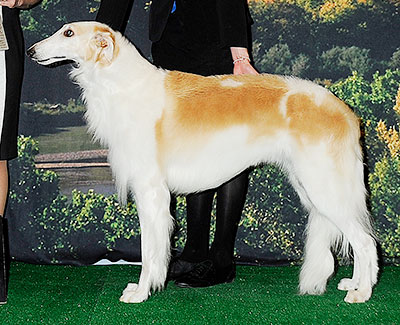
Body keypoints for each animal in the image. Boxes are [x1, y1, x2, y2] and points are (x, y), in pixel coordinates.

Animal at [27, 22, 378, 304]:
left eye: (68, 33)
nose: (31, 50)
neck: (124, 84)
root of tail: (345, 112)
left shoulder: (151, 191)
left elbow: (149, 251)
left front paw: (140, 293)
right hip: (312, 187)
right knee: (359, 237)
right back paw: (352, 283)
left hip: (324, 187)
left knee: (366, 242)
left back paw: (362, 292)